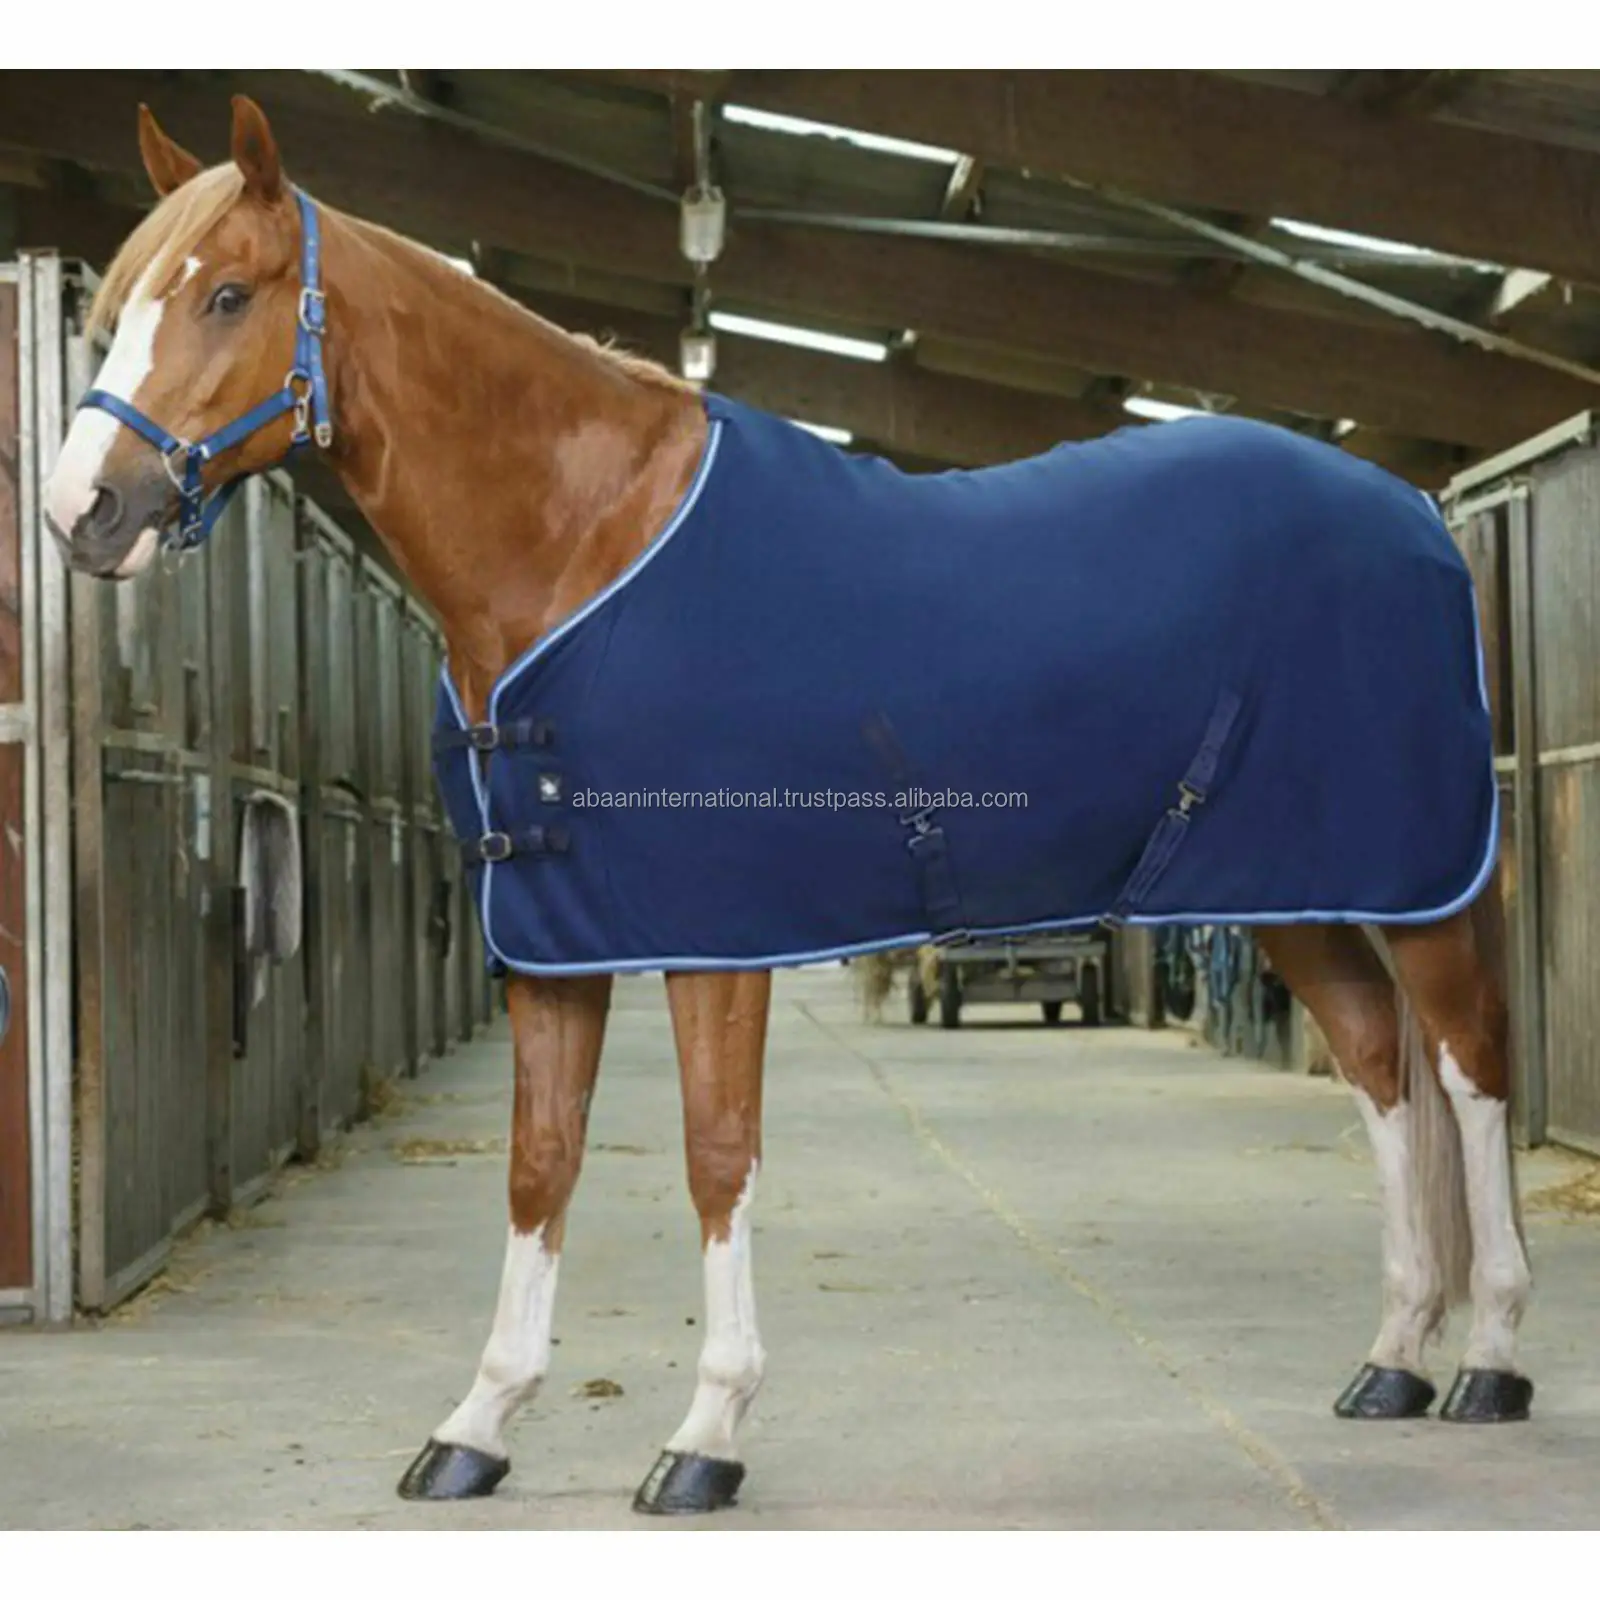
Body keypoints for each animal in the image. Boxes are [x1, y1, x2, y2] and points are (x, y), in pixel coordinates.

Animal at [43, 96, 1534, 1517]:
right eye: (116, 311)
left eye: (229, 295)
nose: (80, 510)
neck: (582, 539)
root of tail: (1413, 508)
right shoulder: (552, 944)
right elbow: (537, 1164)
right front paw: (476, 1427)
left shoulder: (715, 939)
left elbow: (716, 1157)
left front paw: (704, 1437)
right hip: (1294, 886)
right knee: (1377, 1067)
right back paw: (1391, 1360)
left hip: (1415, 876)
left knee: (1466, 1069)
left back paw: (1489, 1361)